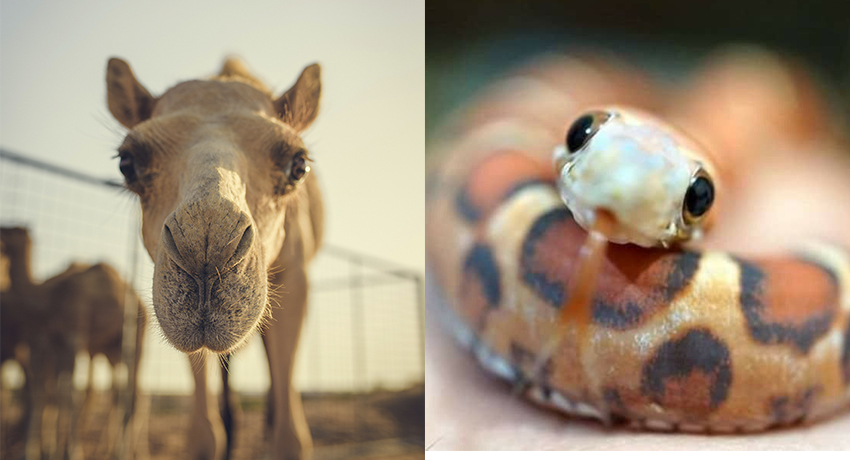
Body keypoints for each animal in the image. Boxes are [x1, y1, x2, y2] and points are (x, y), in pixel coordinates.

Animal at [0, 227, 147, 460]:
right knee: (120, 395)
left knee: (132, 397)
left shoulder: (71, 335)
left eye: (9, 231)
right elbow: (52, 394)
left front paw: (71, 451)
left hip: (136, 339)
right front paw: (45, 452)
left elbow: (68, 395)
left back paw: (122, 453)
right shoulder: (53, 342)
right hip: (110, 349)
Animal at [105, 56, 323, 460]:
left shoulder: (296, 275)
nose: (205, 249)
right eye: (127, 163)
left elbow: (292, 438)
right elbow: (203, 437)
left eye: (298, 165)